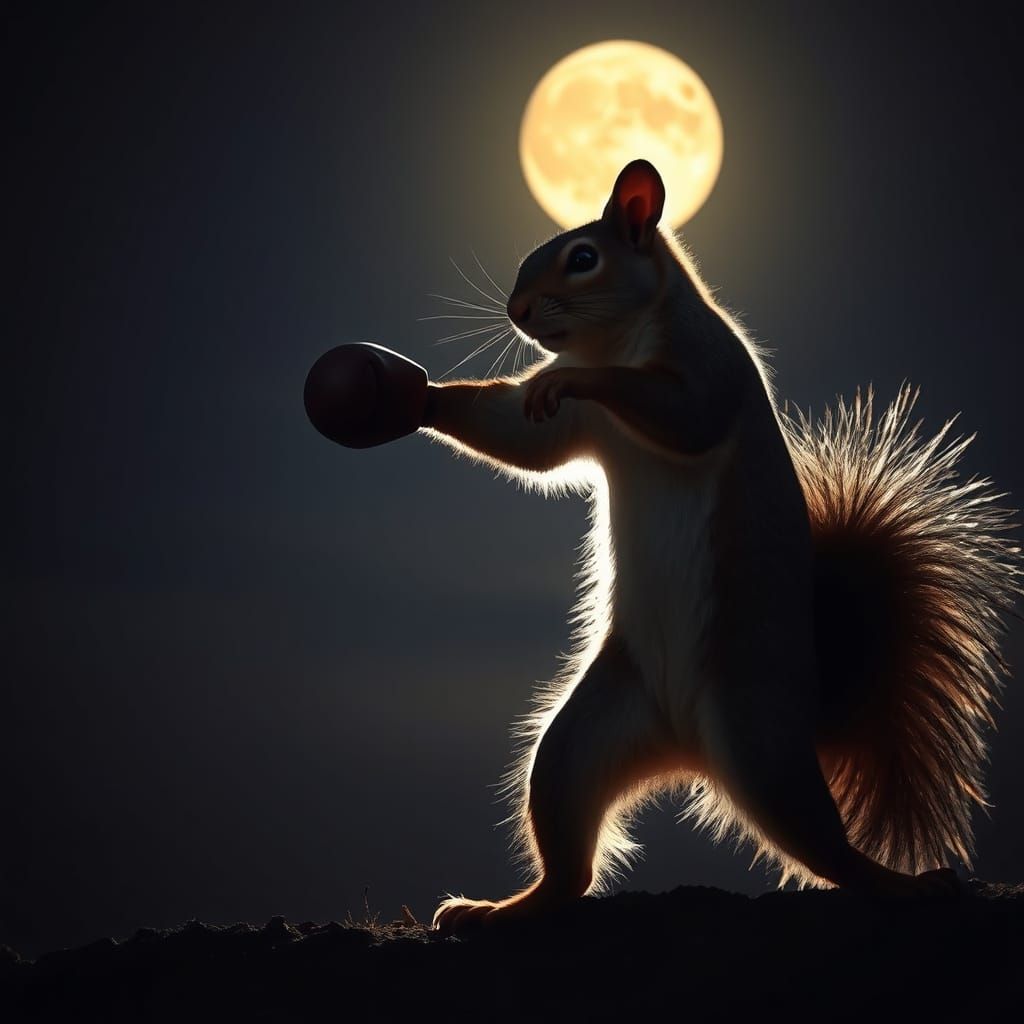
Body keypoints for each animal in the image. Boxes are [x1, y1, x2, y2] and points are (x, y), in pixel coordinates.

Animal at [303, 159, 1021, 933]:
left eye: (583, 258)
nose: (516, 311)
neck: (619, 342)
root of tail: (687, 748)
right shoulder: (574, 427)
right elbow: (523, 439)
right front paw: (411, 396)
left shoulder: (710, 370)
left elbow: (684, 415)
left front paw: (572, 375)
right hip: (587, 738)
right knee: (571, 865)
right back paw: (498, 909)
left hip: (759, 735)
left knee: (824, 846)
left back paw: (902, 885)